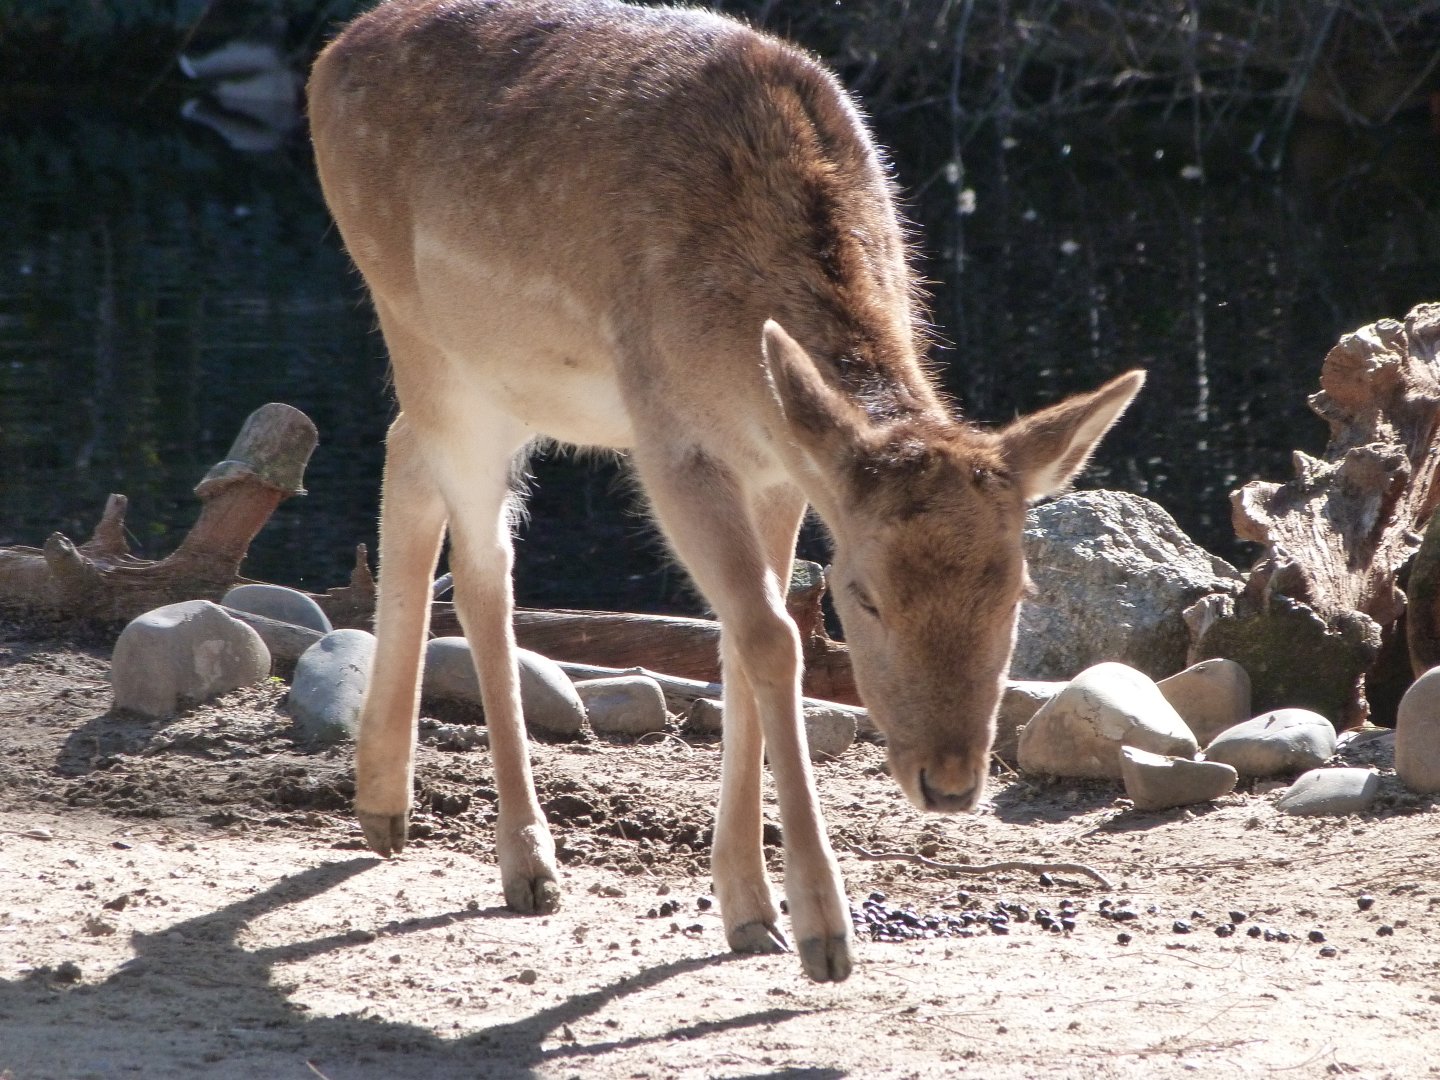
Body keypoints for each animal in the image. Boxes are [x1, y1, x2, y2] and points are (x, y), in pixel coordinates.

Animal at [307, 0, 1143, 983]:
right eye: (865, 596)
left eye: (1018, 591)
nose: (949, 782)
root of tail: (329, 56)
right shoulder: (673, 438)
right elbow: (771, 638)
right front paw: (821, 932)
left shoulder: (781, 462)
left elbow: (747, 639)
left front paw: (749, 911)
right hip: (421, 325)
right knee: (484, 568)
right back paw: (526, 860)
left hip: (501, 382)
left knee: (406, 458)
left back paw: (383, 806)